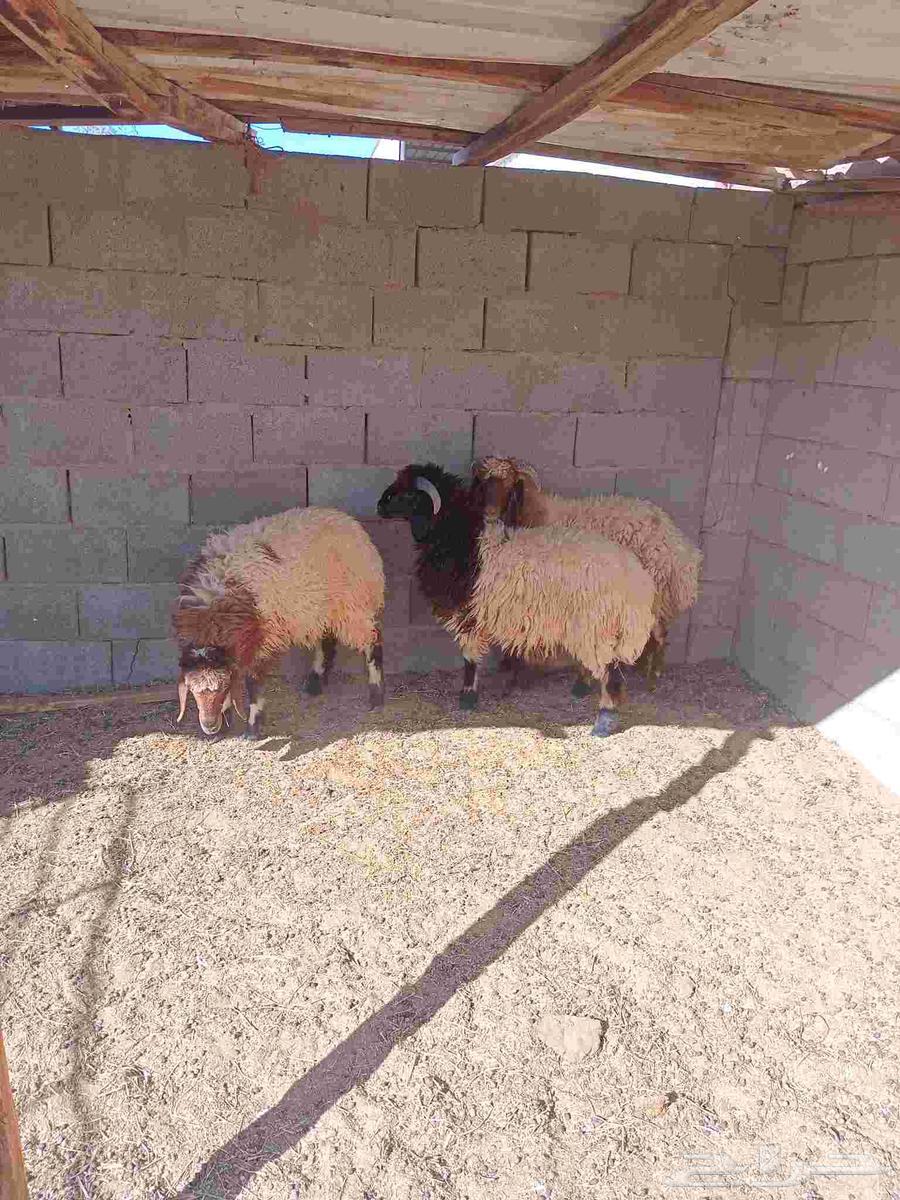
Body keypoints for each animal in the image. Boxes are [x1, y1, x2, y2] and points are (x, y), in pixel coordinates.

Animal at [172, 506, 385, 738]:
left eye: (222, 687)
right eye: (192, 690)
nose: (209, 726)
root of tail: (348, 521)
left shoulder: (262, 639)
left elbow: (253, 684)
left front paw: (253, 728)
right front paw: (225, 725)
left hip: (354, 606)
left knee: (373, 643)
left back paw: (376, 696)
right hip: (321, 609)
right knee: (326, 642)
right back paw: (314, 684)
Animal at [377, 463, 655, 736]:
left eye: (409, 495)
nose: (379, 506)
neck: (462, 540)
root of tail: (636, 579)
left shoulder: (469, 614)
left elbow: (470, 658)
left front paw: (468, 698)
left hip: (598, 625)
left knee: (611, 674)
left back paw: (603, 722)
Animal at [472, 456, 702, 689]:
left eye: (509, 482)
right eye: (485, 481)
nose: (489, 513)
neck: (538, 513)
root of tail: (682, 553)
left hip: (651, 594)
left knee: (658, 634)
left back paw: (648, 677)